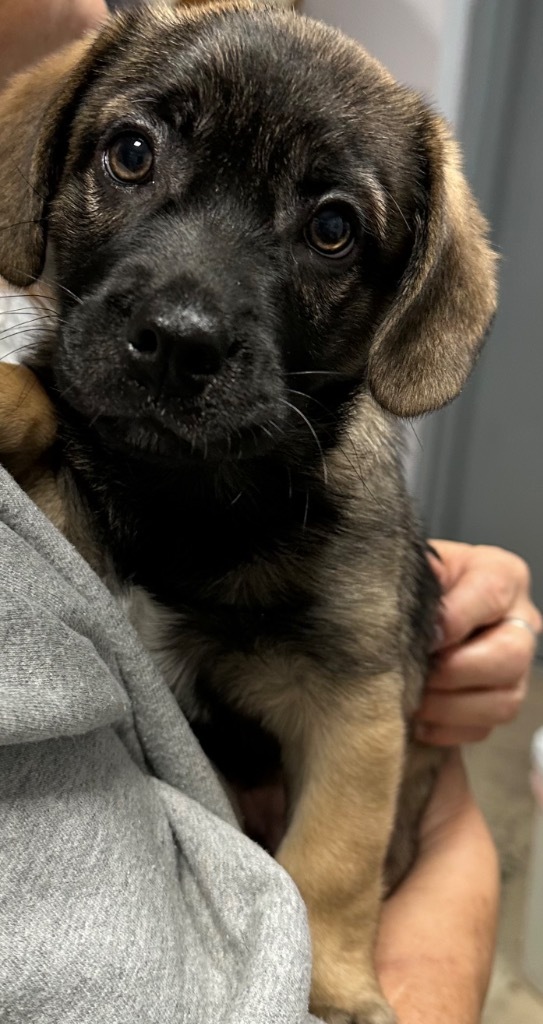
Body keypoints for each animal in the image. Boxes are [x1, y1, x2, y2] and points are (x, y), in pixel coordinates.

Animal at [0, 4, 493, 1019]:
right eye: (132, 152)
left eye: (333, 227)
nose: (177, 345)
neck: (190, 497)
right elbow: (42, 402)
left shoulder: (351, 705)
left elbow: (333, 858)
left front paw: (334, 987)